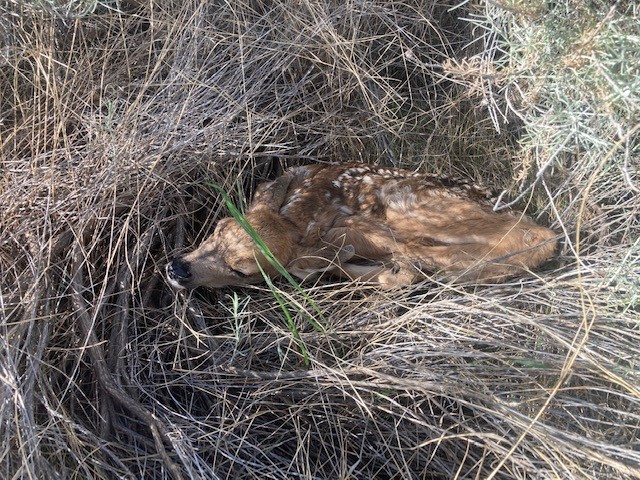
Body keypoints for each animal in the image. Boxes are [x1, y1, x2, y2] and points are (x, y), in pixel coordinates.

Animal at [166, 163, 557, 289]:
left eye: (243, 272)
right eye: (218, 228)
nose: (177, 269)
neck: (297, 220)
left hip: (408, 202)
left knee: (531, 234)